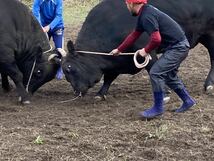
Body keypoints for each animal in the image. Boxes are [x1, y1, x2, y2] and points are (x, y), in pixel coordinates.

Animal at [62, 0, 214, 98]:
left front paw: (164, 90)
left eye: (69, 68)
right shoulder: (116, 59)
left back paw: (209, 85)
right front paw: (101, 93)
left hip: (210, 35)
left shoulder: (147, 51)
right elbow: (109, 76)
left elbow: (152, 67)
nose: (76, 92)